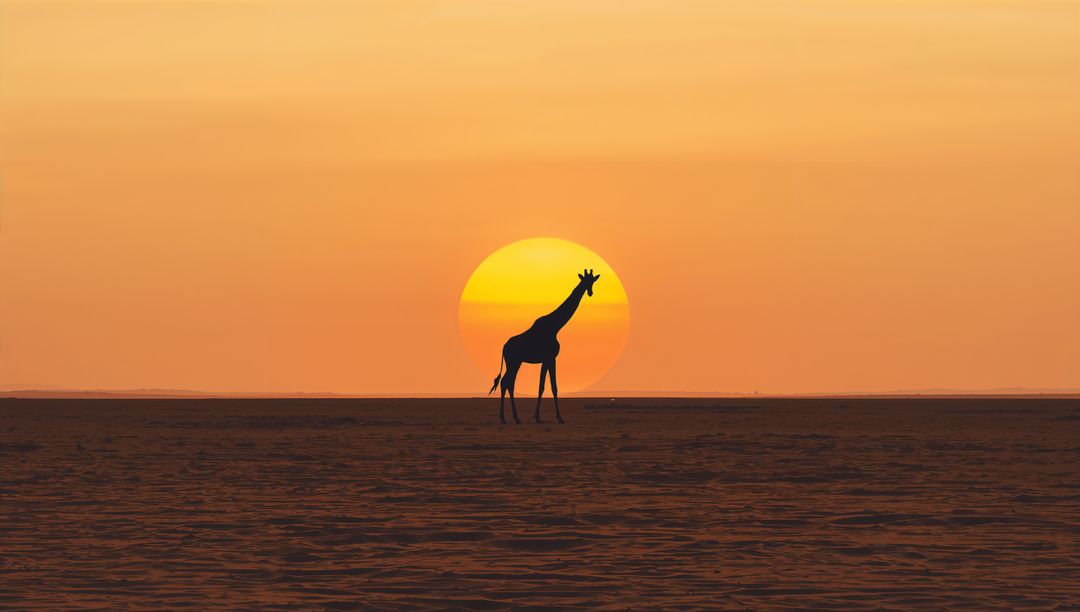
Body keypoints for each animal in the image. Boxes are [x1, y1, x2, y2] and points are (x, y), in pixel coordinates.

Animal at [488, 269, 600, 424]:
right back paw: (506, 418)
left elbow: (542, 387)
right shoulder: (551, 358)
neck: (555, 326)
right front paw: (559, 418)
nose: (590, 292)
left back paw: (515, 418)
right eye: (585, 281)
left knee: (509, 383)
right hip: (513, 362)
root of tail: (504, 347)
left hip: (516, 362)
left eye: (593, 281)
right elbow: (552, 387)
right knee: (506, 382)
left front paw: (538, 417)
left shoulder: (546, 360)